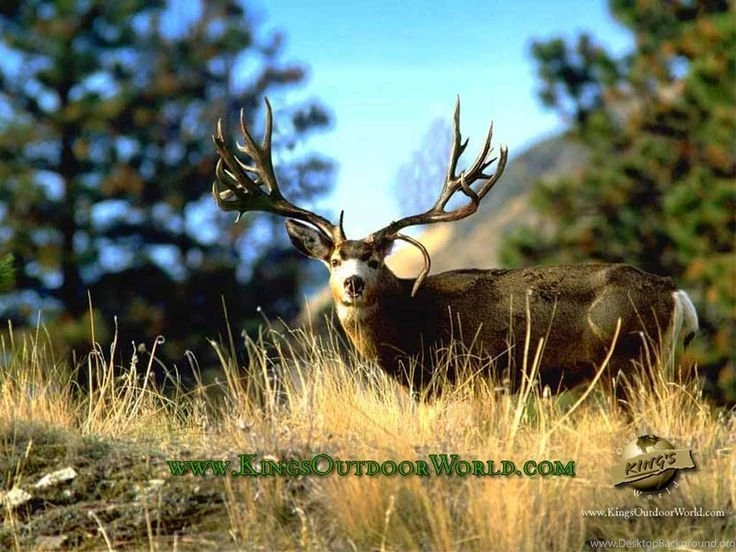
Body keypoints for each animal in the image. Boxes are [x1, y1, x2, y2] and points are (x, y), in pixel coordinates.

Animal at [210, 98, 699, 395]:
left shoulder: (470, 377)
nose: (352, 284)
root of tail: (674, 291)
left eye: (374, 259)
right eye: (332, 260)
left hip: (632, 363)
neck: (410, 334)